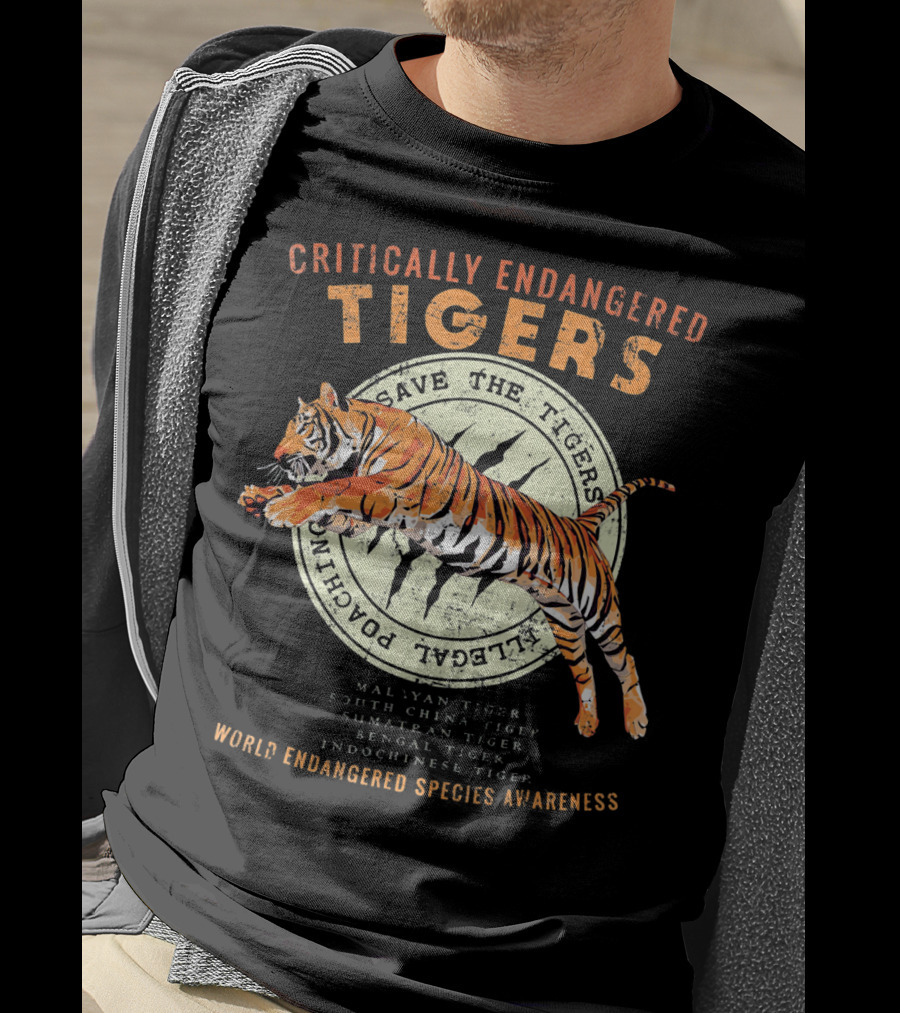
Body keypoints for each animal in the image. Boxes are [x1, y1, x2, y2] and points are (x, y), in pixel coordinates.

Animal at [238, 381, 674, 740]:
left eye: (303, 427)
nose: (277, 455)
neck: (366, 437)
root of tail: (579, 524)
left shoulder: (387, 492)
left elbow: (333, 486)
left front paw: (282, 506)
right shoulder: (364, 516)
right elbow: (326, 503)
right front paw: (262, 495)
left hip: (599, 610)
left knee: (625, 659)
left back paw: (636, 721)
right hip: (563, 619)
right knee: (584, 669)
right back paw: (587, 722)